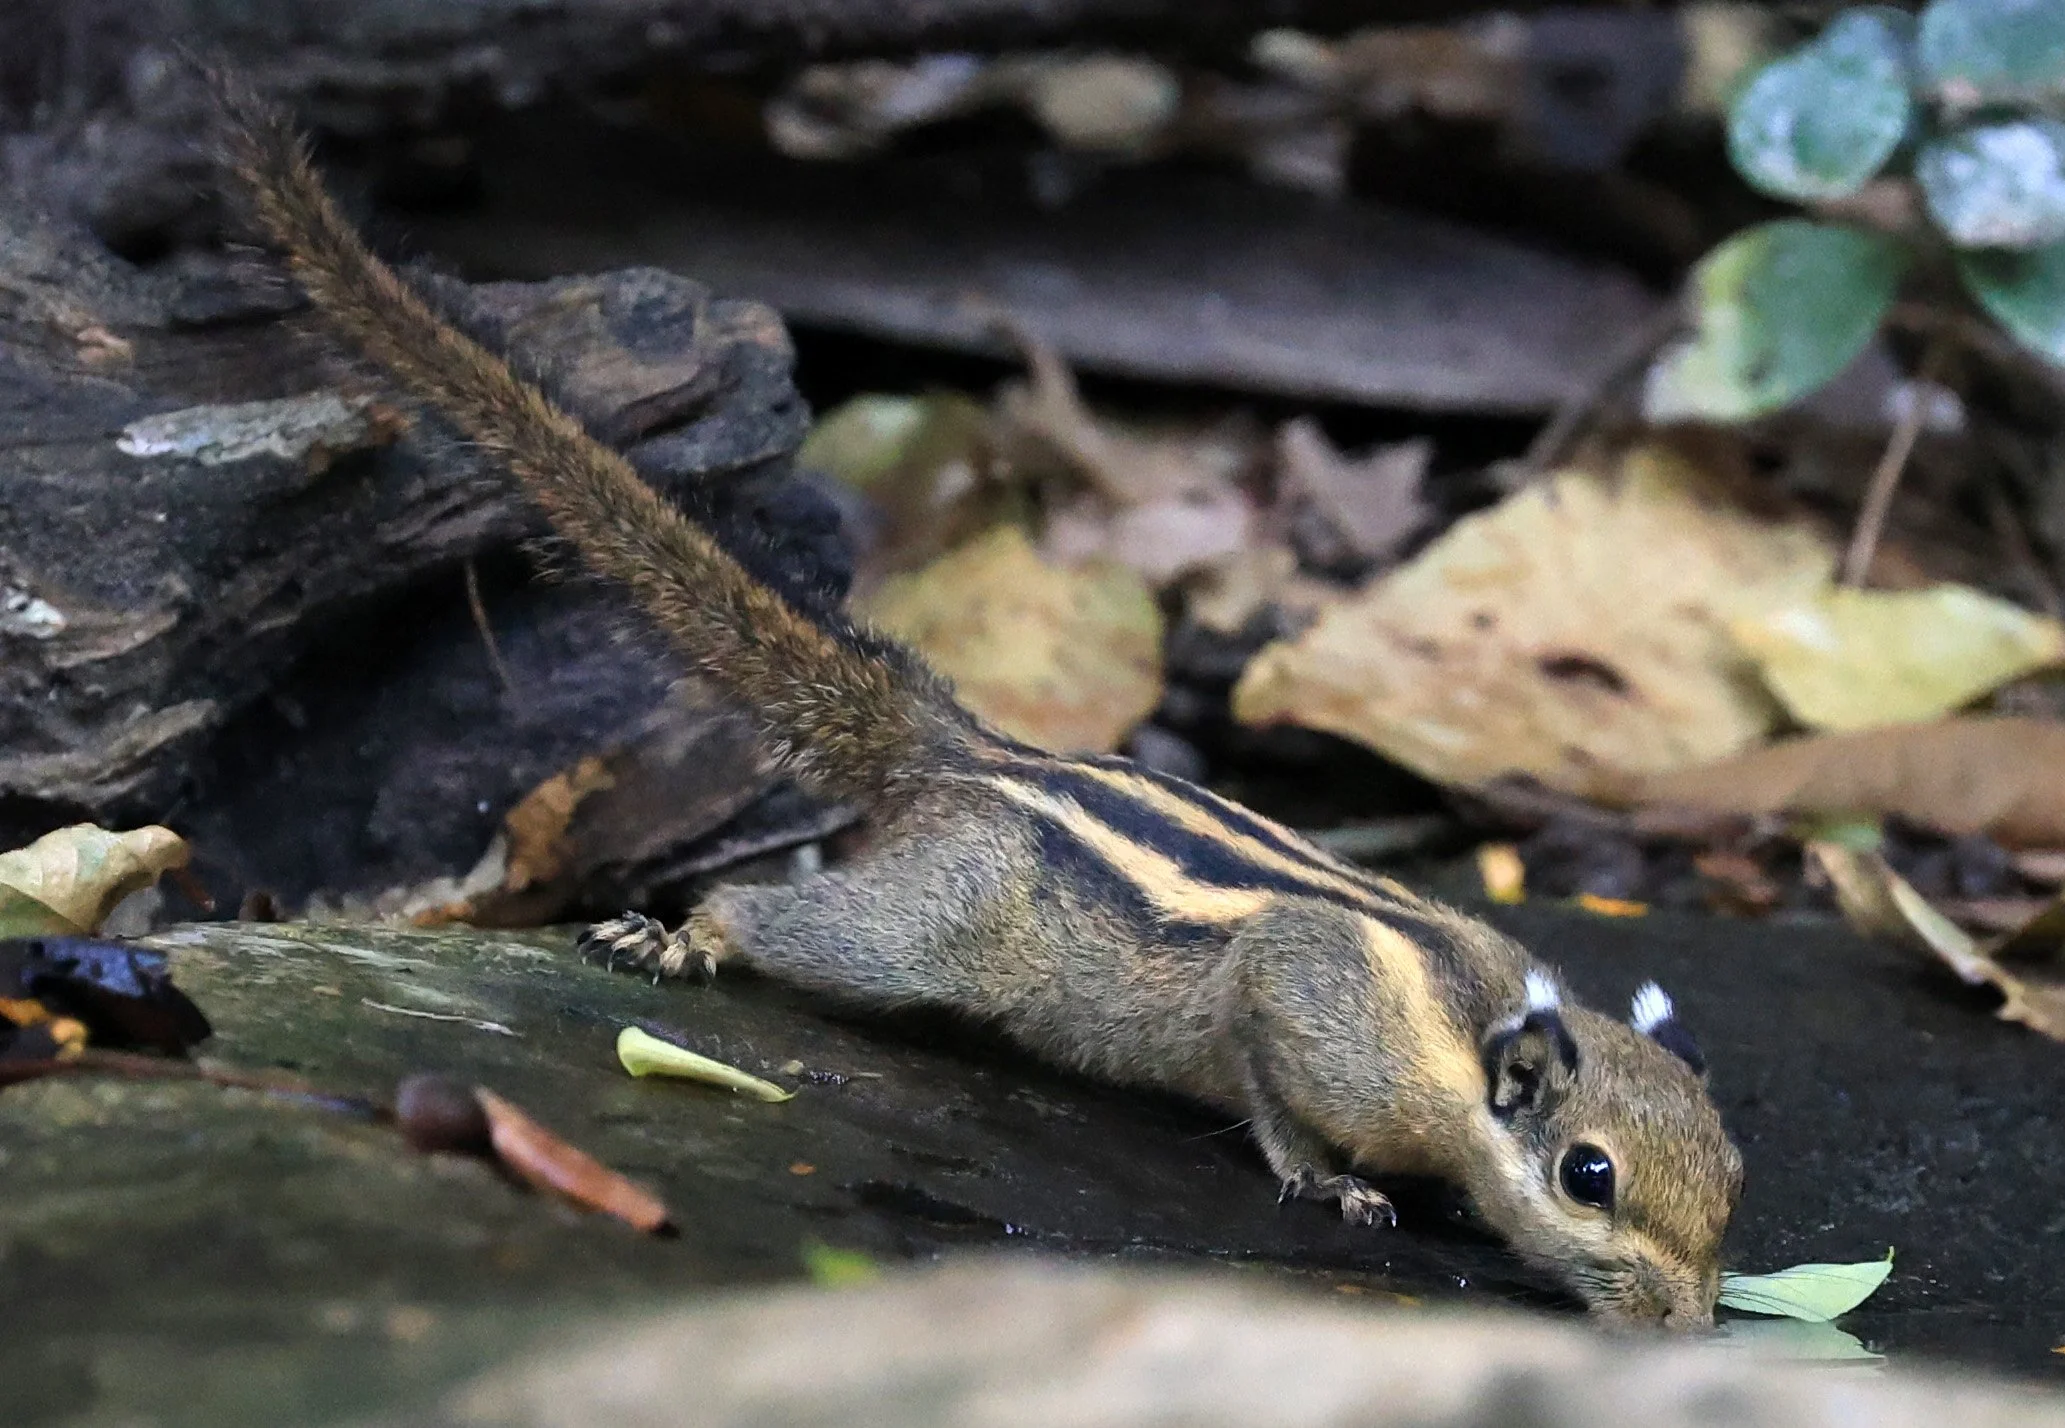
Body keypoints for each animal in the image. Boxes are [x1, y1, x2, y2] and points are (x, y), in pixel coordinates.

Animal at [213, 76, 1742, 1327]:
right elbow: (1267, 1081)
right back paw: (687, 936)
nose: (1686, 1322)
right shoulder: (1299, 1003)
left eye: (1728, 1171)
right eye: (1588, 1175)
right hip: (922, 930)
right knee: (788, 914)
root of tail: (976, 756)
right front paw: (1330, 1181)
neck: (1461, 1034)